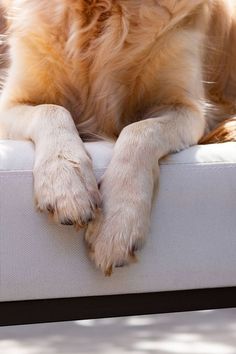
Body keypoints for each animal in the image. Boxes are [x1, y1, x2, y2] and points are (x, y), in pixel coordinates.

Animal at [0, 0, 235, 276]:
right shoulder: (12, 101)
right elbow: (51, 109)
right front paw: (66, 184)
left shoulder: (187, 109)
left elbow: (138, 130)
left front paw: (116, 224)